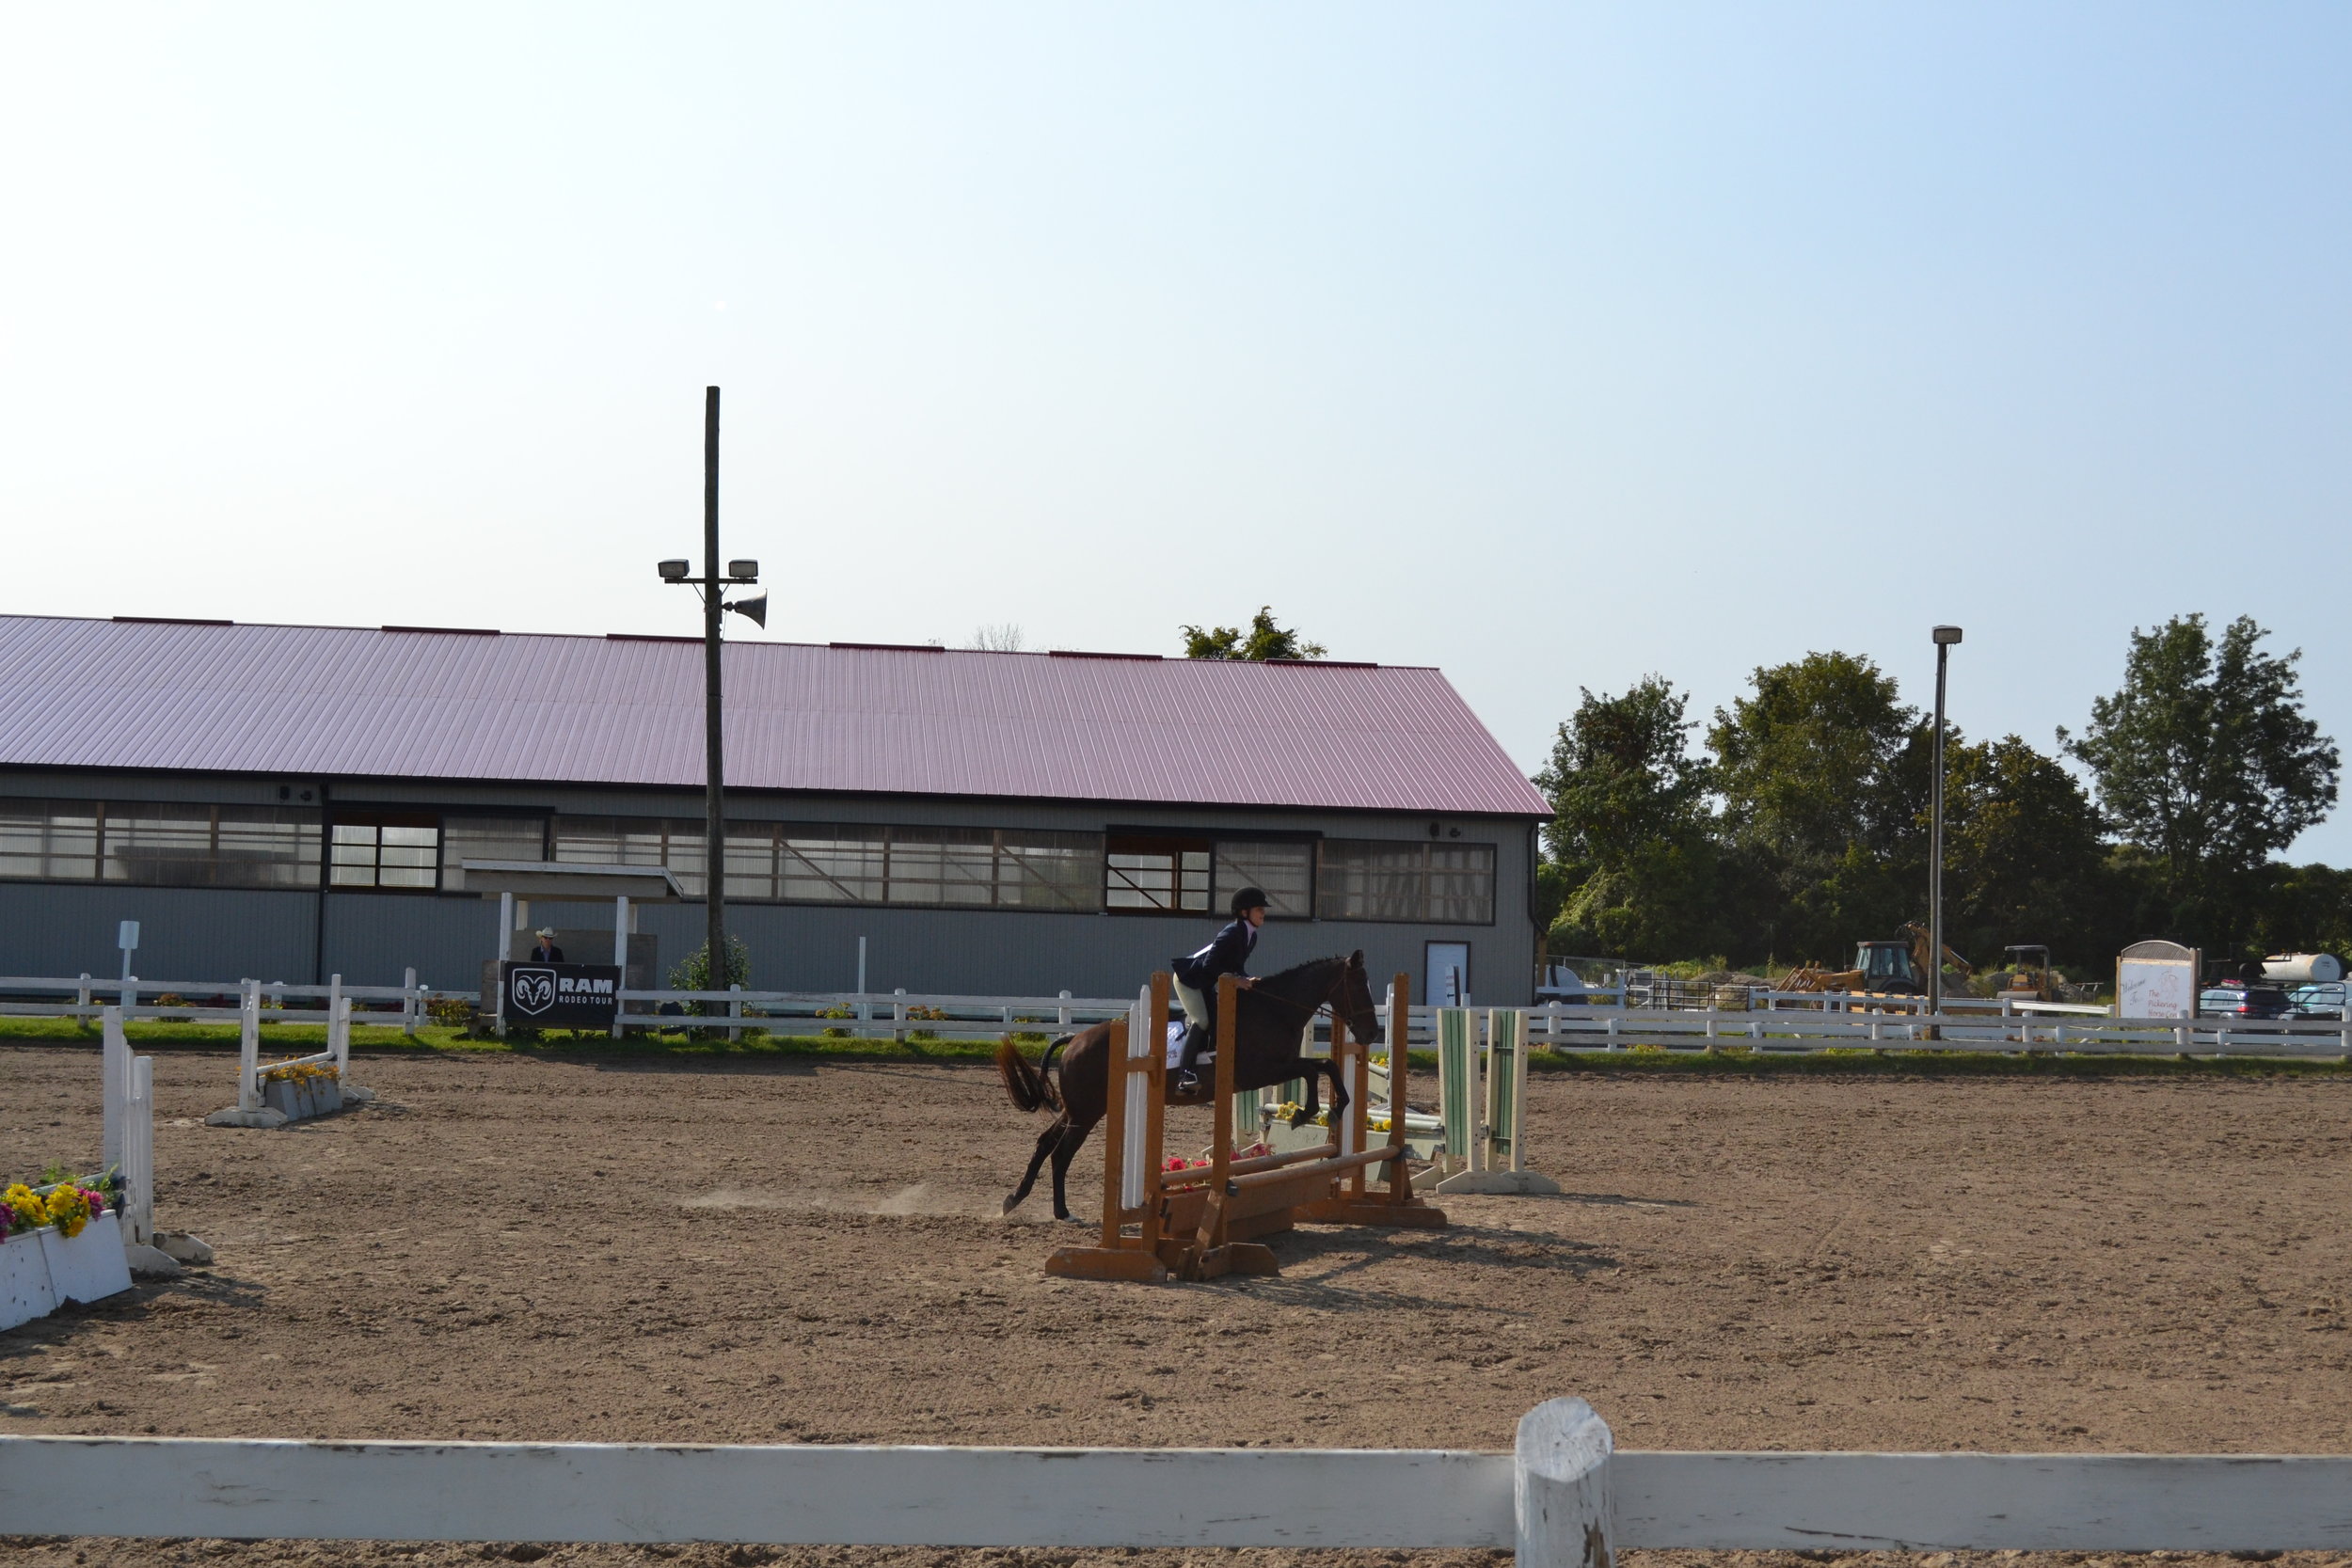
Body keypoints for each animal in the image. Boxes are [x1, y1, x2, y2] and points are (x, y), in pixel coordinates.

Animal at [988, 949, 1374, 1222]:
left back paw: (1013, 1201)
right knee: (1061, 1153)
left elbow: (1323, 1066)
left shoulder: (1275, 1068)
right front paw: (1312, 1113)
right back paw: (1062, 1213)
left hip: (1079, 1109)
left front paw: (1322, 1111)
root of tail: (1074, 1039)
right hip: (1088, 1112)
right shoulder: (1261, 1071)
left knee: (1045, 1143)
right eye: (1358, 987)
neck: (1274, 1010)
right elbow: (1317, 1067)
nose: (1372, 1033)